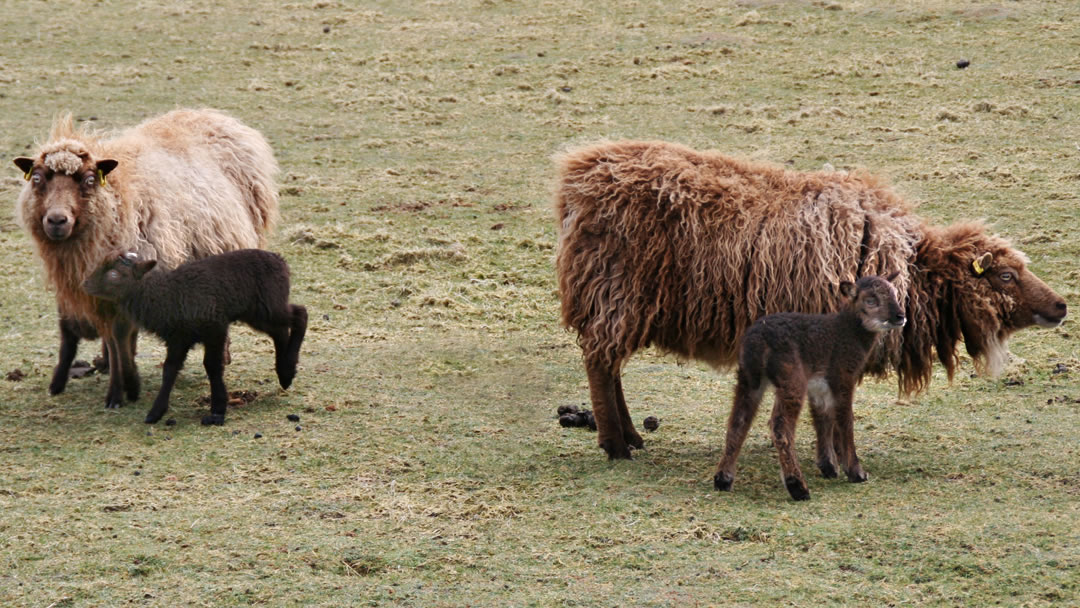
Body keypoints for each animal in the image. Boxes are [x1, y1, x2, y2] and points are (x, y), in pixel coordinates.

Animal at [14, 111, 278, 412]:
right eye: (37, 178)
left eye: (89, 179)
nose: (57, 220)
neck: (117, 201)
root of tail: (212, 114)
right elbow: (113, 338)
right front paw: (120, 380)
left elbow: (120, 335)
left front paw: (125, 387)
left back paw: (221, 355)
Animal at [557, 140, 1071, 460]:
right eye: (1005, 275)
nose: (1062, 306)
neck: (909, 271)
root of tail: (579, 176)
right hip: (615, 295)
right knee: (601, 364)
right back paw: (615, 445)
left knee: (610, 366)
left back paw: (631, 436)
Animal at [712, 273, 907, 501]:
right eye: (870, 300)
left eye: (895, 293)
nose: (900, 316)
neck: (849, 333)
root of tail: (758, 342)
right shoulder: (842, 374)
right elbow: (845, 420)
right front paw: (856, 473)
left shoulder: (818, 385)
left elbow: (822, 418)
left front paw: (829, 467)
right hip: (791, 375)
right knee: (780, 426)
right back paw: (798, 487)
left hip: (748, 376)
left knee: (738, 421)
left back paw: (723, 480)